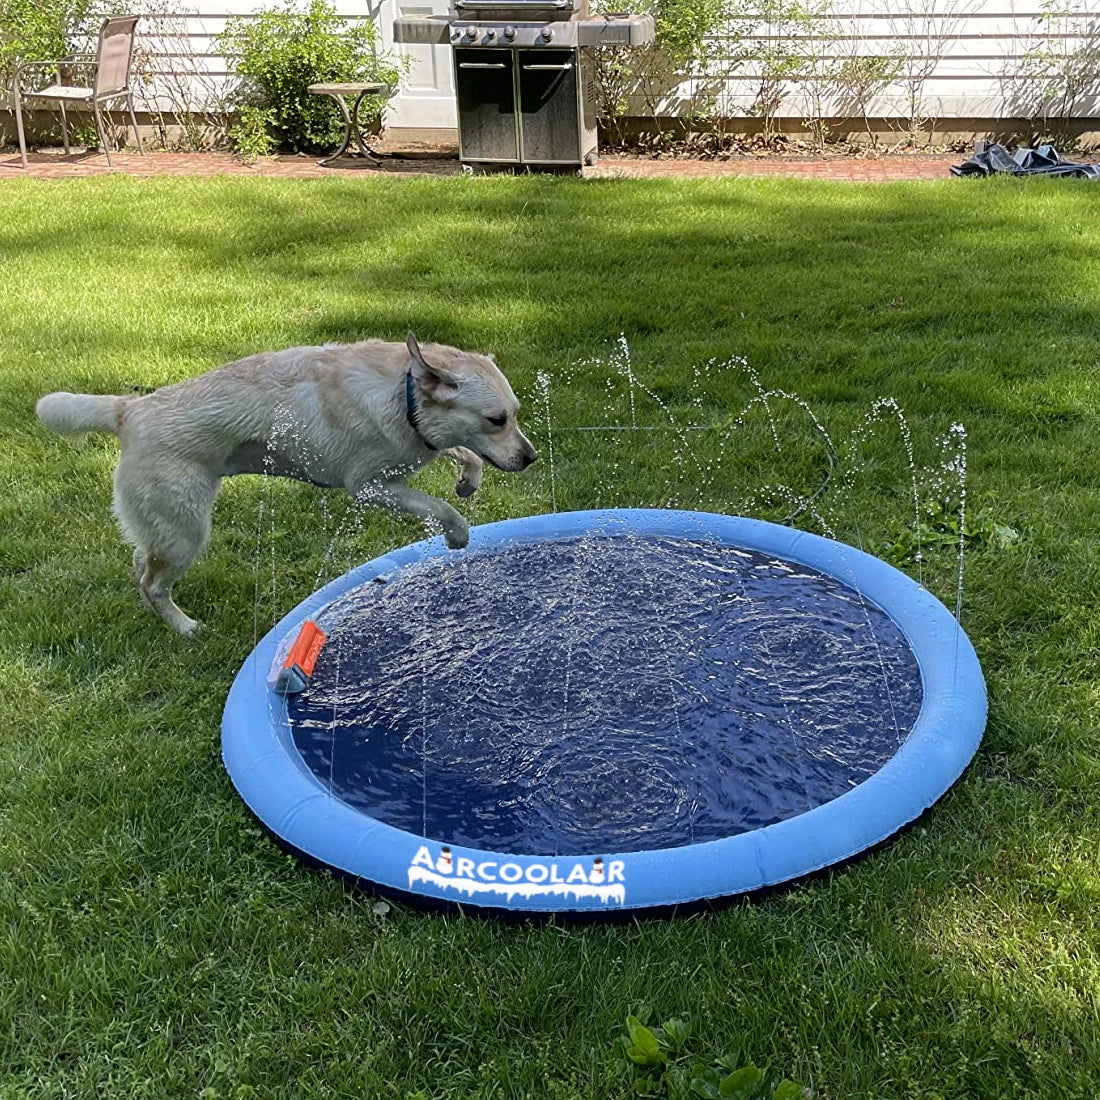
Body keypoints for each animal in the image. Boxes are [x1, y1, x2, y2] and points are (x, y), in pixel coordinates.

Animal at [33, 332, 532, 638]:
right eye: (496, 419)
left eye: (516, 413)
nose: (531, 458)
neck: (403, 395)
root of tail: (128, 410)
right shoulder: (370, 487)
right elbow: (440, 507)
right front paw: (458, 533)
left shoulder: (419, 449)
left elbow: (463, 453)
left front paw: (468, 478)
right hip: (185, 533)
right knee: (154, 583)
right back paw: (184, 626)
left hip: (163, 528)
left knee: (141, 565)